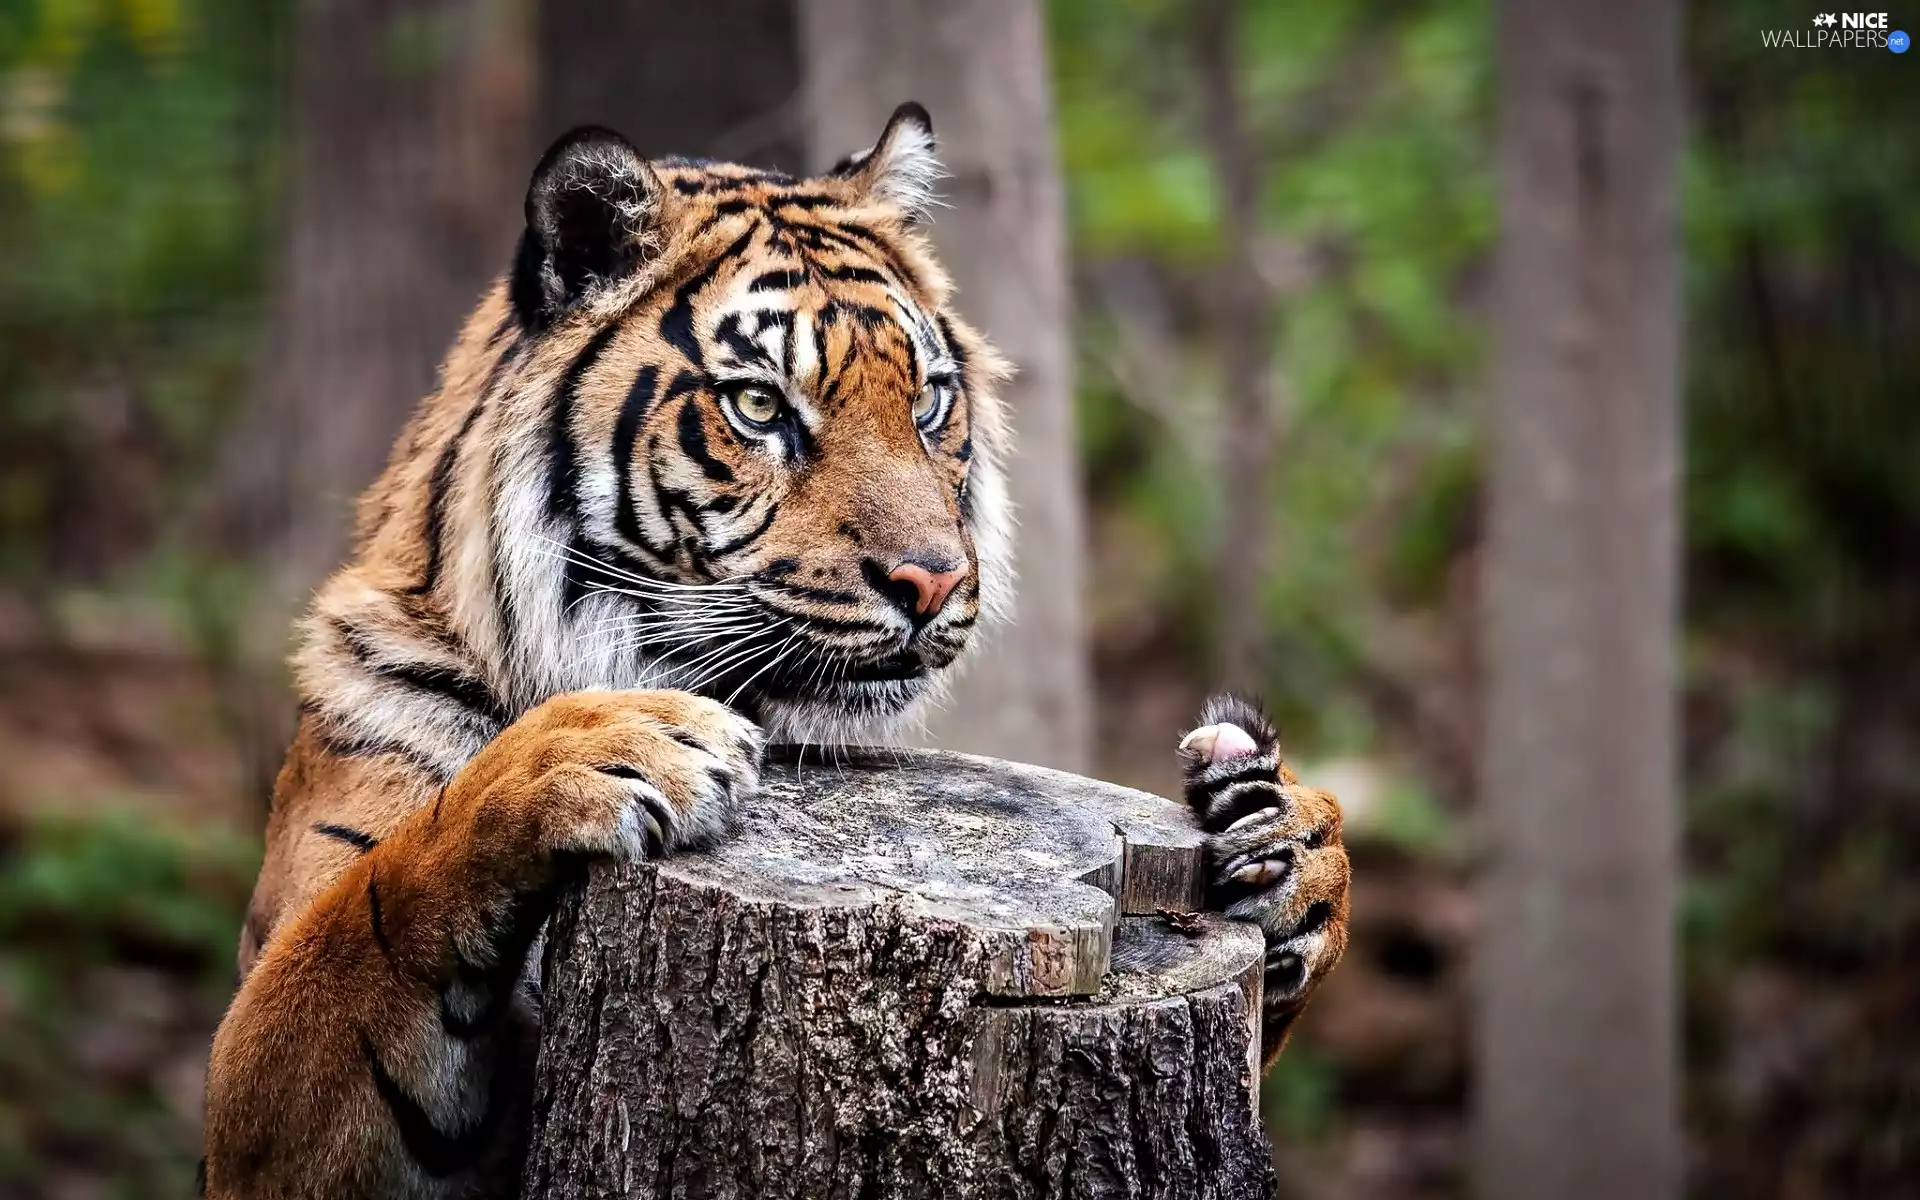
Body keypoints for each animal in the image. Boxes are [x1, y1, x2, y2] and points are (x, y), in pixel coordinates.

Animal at [199, 102, 1350, 1199]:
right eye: (758, 405)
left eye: (930, 400)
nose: (934, 581)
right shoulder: (257, 1098)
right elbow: (375, 899)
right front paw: (604, 746)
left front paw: (1286, 834)